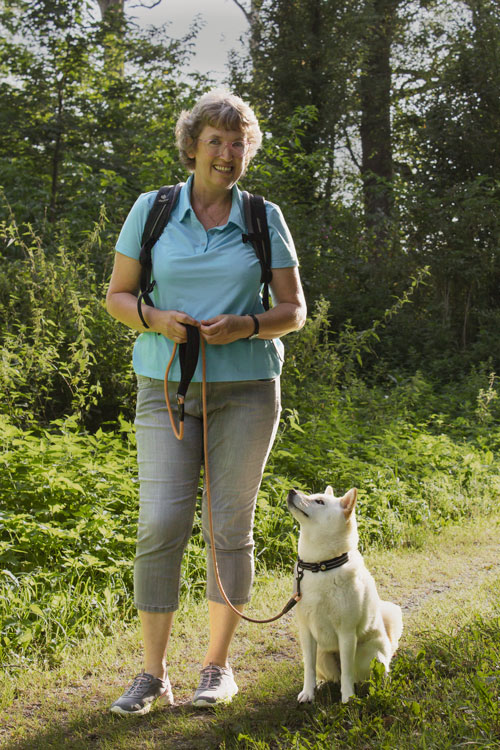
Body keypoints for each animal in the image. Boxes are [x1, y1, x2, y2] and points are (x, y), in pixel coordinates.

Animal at [290, 488, 402, 704]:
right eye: (312, 495)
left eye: (319, 501)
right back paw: (321, 684)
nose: (291, 491)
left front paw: (348, 698)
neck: (321, 566)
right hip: (323, 655)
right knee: (330, 675)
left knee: (372, 673)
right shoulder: (306, 631)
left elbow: (347, 673)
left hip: (369, 655)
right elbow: (308, 669)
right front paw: (308, 692)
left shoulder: (347, 632)